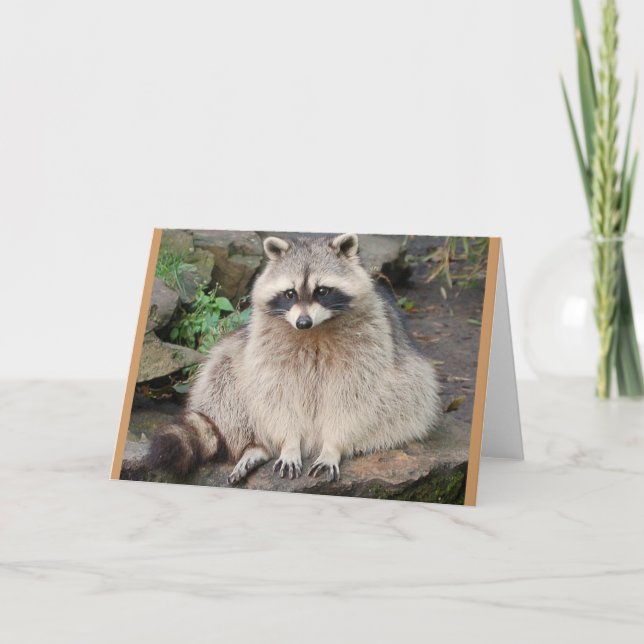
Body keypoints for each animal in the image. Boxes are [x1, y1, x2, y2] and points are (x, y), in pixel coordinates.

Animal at [148, 233, 441, 483]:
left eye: (322, 291)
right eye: (290, 293)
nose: (302, 322)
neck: (314, 331)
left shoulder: (368, 346)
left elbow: (352, 398)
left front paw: (333, 446)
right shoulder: (267, 347)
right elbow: (277, 394)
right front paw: (289, 444)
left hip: (409, 388)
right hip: (234, 358)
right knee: (223, 378)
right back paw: (255, 446)